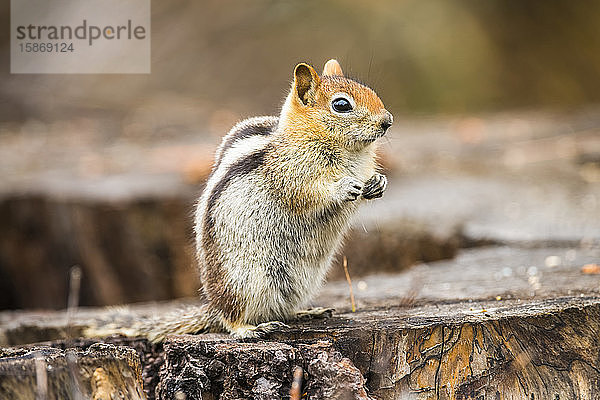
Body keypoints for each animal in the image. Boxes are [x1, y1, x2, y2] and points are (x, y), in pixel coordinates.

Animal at [85, 59, 394, 340]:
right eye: (341, 105)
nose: (387, 121)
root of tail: (211, 306)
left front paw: (378, 182)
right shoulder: (290, 173)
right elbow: (307, 193)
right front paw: (342, 186)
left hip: (300, 283)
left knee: (280, 309)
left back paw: (305, 312)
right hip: (246, 281)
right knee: (231, 319)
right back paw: (250, 329)